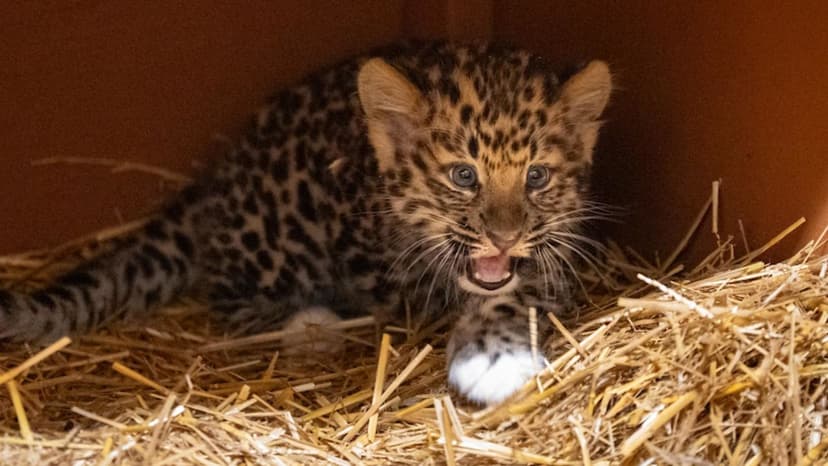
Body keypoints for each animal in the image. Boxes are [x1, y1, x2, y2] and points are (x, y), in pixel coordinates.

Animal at [0, 41, 611, 405]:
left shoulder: (559, 252)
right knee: (230, 300)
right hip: (278, 235)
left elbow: (520, 287)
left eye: (536, 176)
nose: (505, 237)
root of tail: (218, 177)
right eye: (463, 175)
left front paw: (495, 351)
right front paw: (491, 355)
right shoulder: (389, 281)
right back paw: (311, 327)